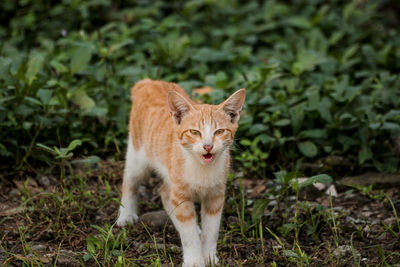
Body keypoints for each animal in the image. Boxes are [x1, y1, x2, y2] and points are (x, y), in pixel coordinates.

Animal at [117, 79, 245, 267]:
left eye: (219, 132)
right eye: (195, 132)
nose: (208, 146)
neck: (202, 168)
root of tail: (148, 81)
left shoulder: (215, 195)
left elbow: (212, 230)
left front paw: (209, 257)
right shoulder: (181, 193)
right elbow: (188, 234)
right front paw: (194, 260)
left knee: (164, 192)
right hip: (138, 155)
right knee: (131, 181)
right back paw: (125, 215)